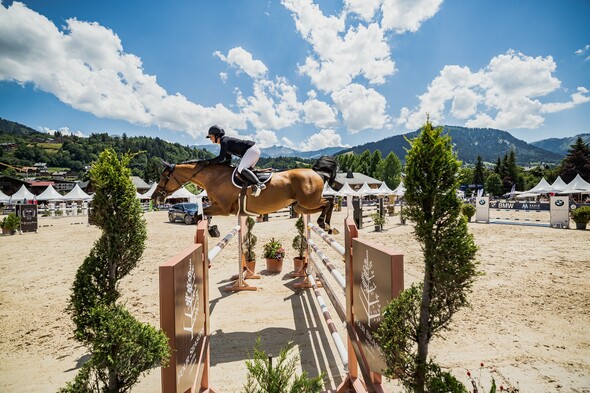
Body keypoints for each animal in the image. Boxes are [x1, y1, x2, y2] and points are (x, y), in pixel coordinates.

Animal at [153, 155, 340, 233]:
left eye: (163, 176)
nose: (156, 197)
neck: (214, 177)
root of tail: (315, 172)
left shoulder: (222, 208)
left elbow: (200, 214)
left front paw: (211, 230)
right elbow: (202, 214)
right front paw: (212, 229)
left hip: (309, 201)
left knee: (329, 201)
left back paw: (324, 224)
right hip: (302, 206)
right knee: (328, 201)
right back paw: (327, 225)